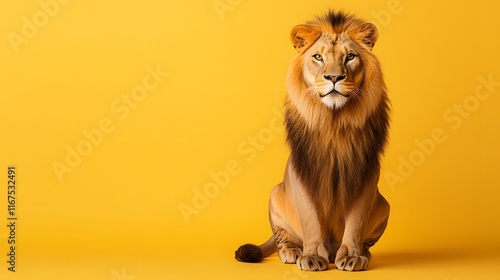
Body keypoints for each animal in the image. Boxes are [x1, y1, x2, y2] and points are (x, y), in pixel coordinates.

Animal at [236, 10, 392, 272]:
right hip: (275, 194)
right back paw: (291, 252)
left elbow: (356, 222)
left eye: (350, 56)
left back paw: (363, 254)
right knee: (283, 237)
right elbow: (310, 219)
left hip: (384, 204)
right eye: (318, 57)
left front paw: (352, 256)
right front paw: (311, 256)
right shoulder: (302, 170)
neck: (334, 122)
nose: (334, 77)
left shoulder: (365, 172)